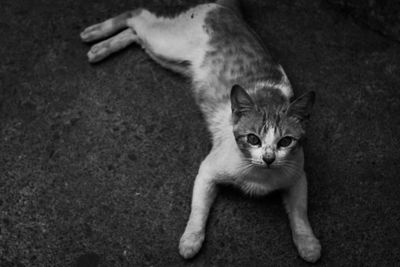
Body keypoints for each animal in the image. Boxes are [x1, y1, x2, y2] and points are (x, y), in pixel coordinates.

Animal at [80, 0, 322, 264]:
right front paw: (191, 240)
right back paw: (95, 33)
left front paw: (308, 243)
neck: (259, 176)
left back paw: (101, 48)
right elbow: (199, 209)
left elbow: (300, 212)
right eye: (253, 139)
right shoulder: (207, 171)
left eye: (285, 141)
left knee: (135, 34)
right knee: (136, 15)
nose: (268, 158)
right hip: (167, 43)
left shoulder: (297, 177)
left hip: (168, 58)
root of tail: (226, 7)